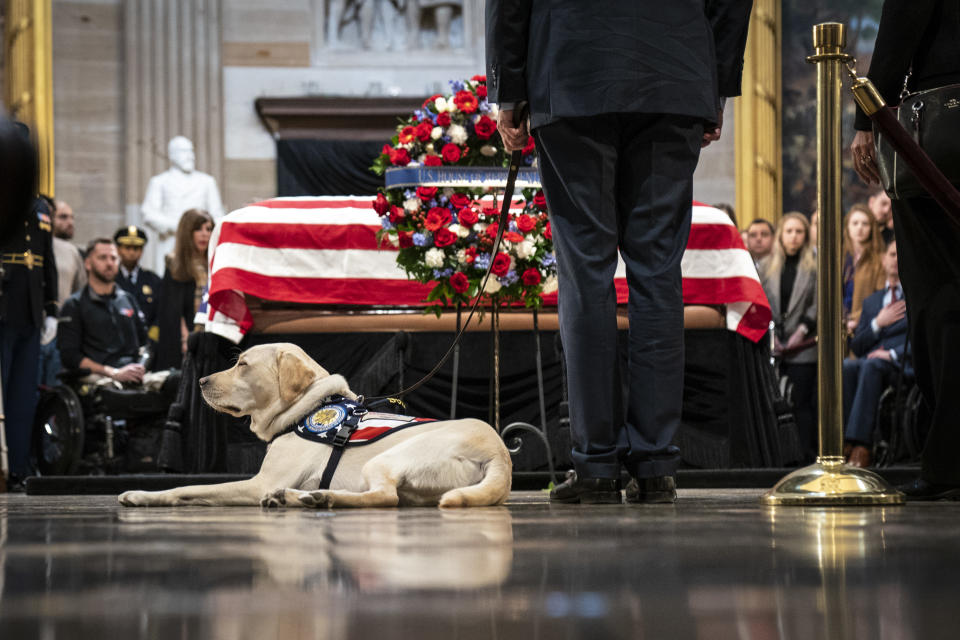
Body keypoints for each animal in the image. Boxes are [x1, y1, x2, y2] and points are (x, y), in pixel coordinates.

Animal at [117, 344, 512, 510]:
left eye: (242, 364)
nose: (200, 381)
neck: (307, 407)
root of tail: (500, 456)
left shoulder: (259, 482)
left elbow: (188, 488)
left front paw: (141, 495)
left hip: (387, 460)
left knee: (386, 497)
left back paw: (313, 498)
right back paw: (306, 497)